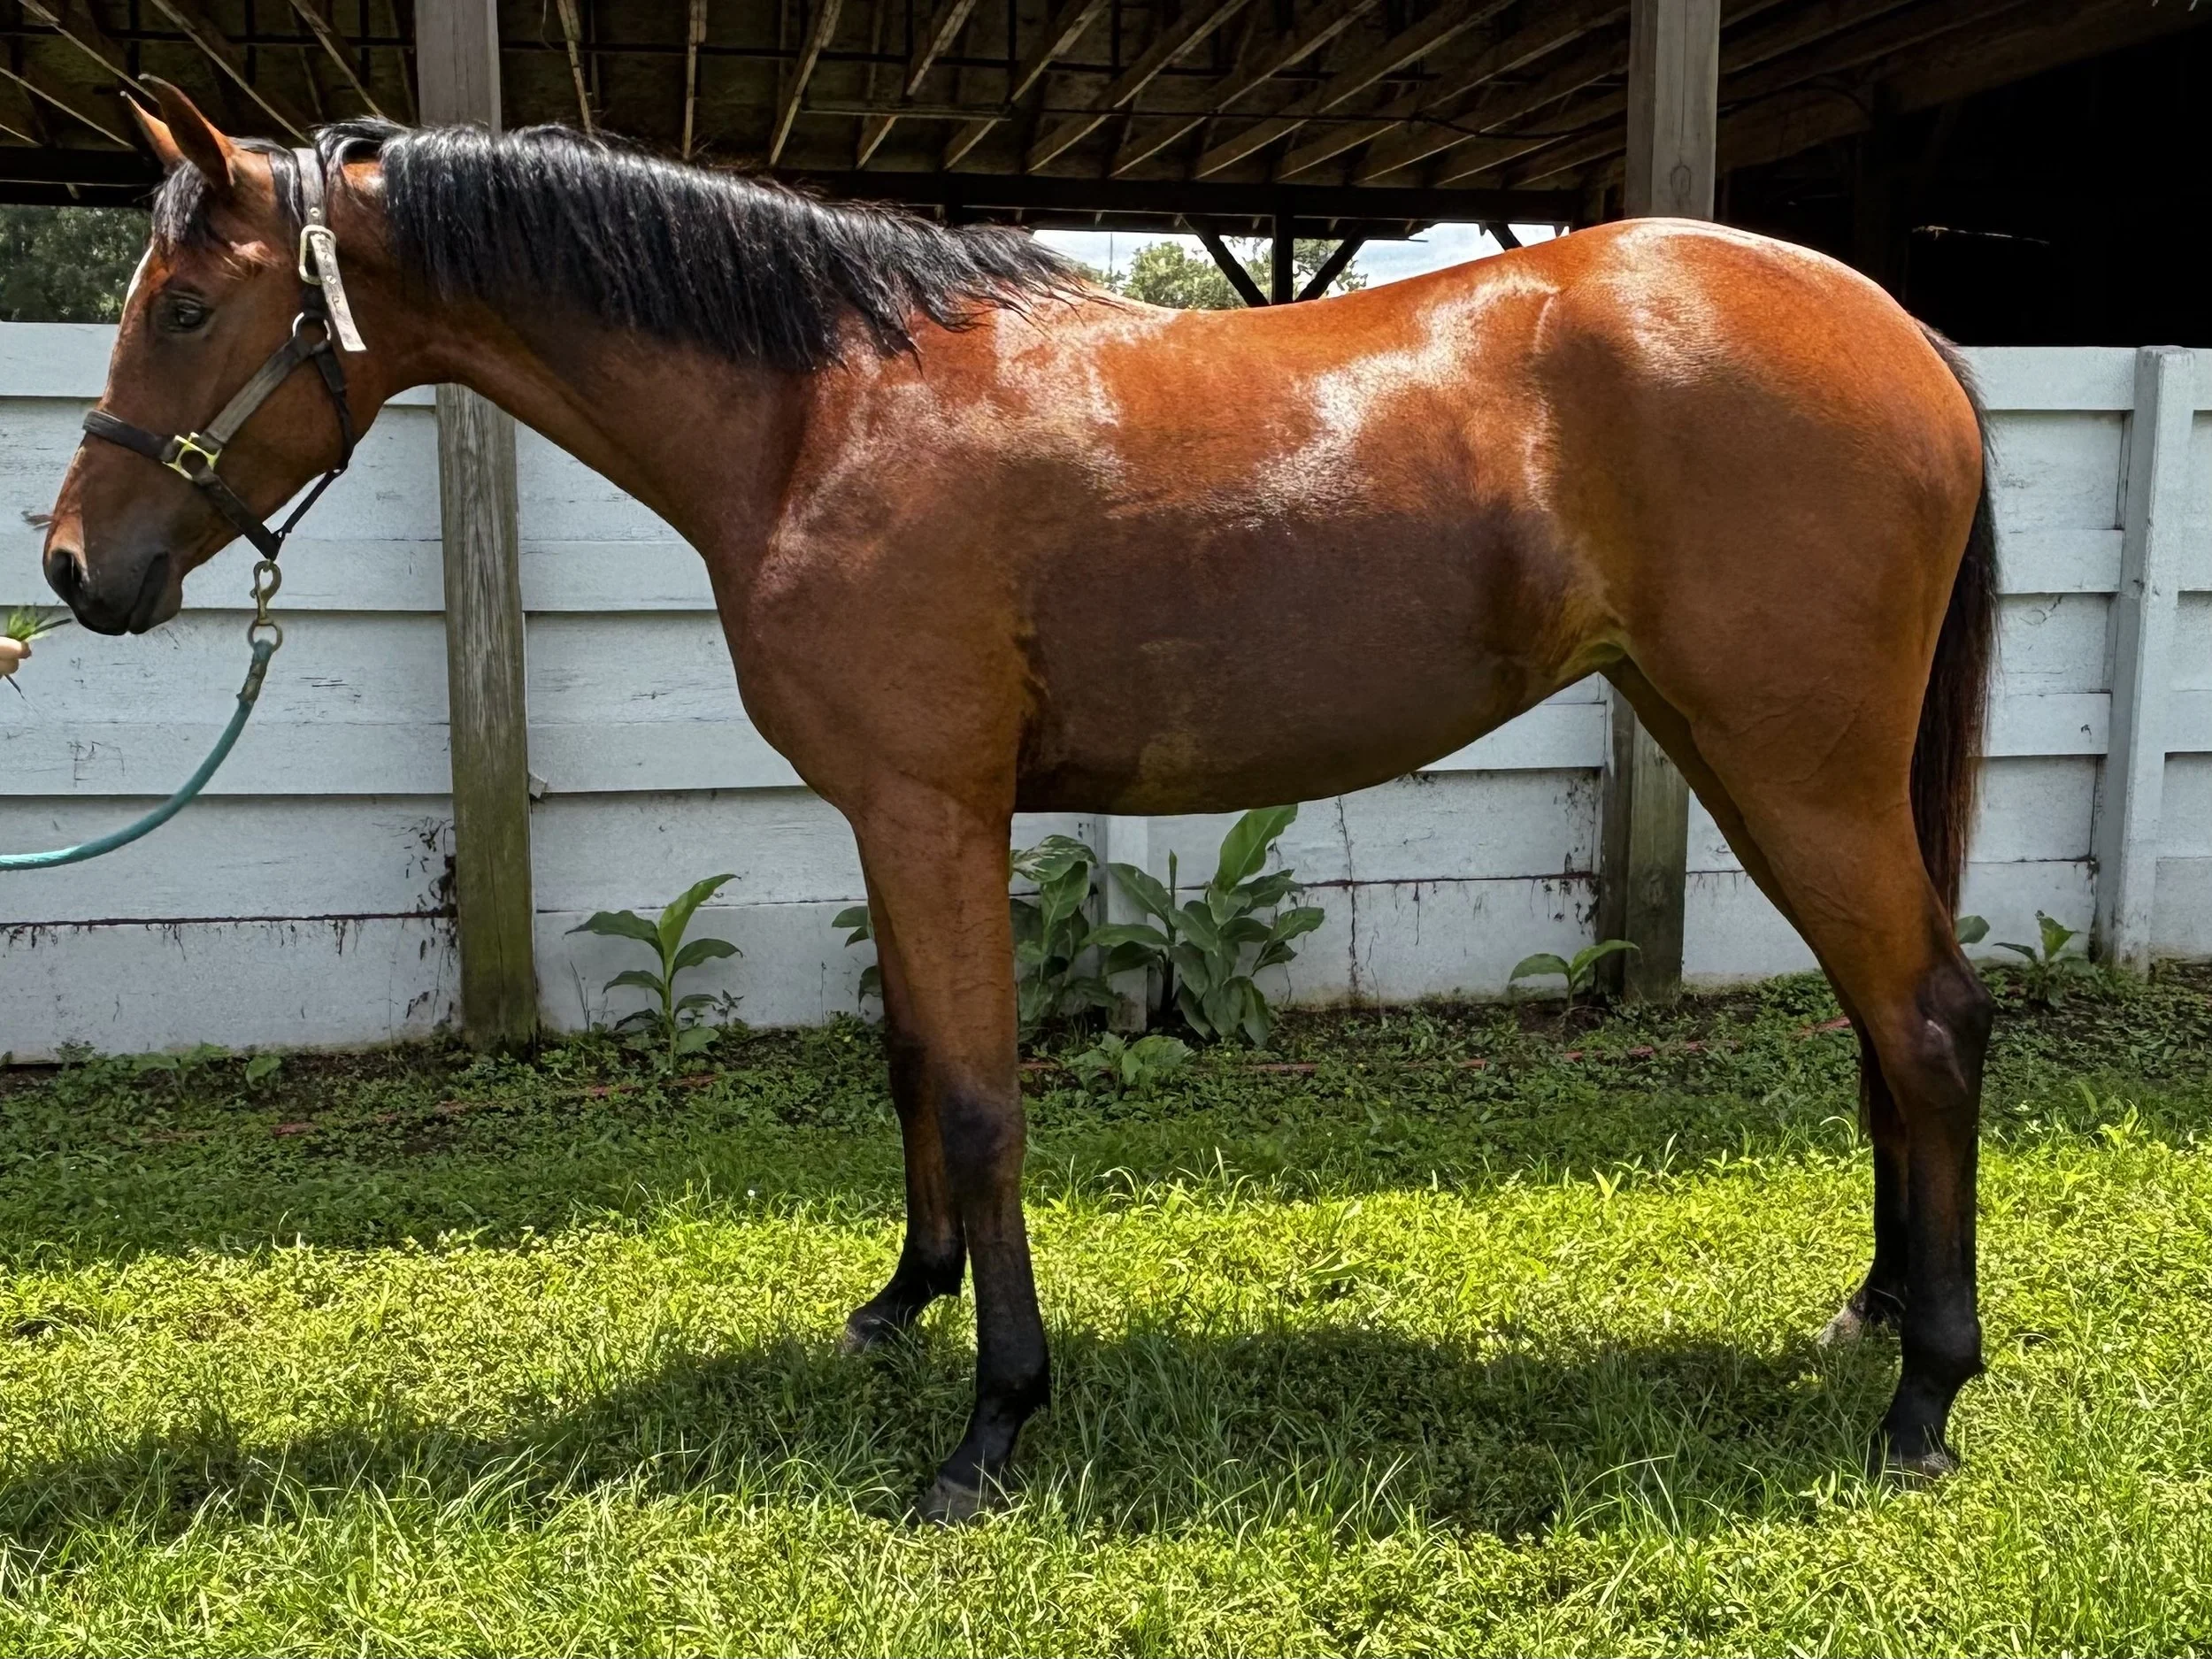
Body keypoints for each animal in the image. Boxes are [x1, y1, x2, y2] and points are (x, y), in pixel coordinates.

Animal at [42, 83, 1996, 1523]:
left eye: (189, 306)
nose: (72, 568)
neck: (818, 413)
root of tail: (1897, 329)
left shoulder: (930, 808)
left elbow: (981, 1099)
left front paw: (992, 1425)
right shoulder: (888, 814)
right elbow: (913, 1060)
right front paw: (899, 1305)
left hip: (1793, 765)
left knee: (1924, 1021)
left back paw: (1925, 1392)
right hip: (1747, 751)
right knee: (1878, 1029)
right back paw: (1877, 1309)